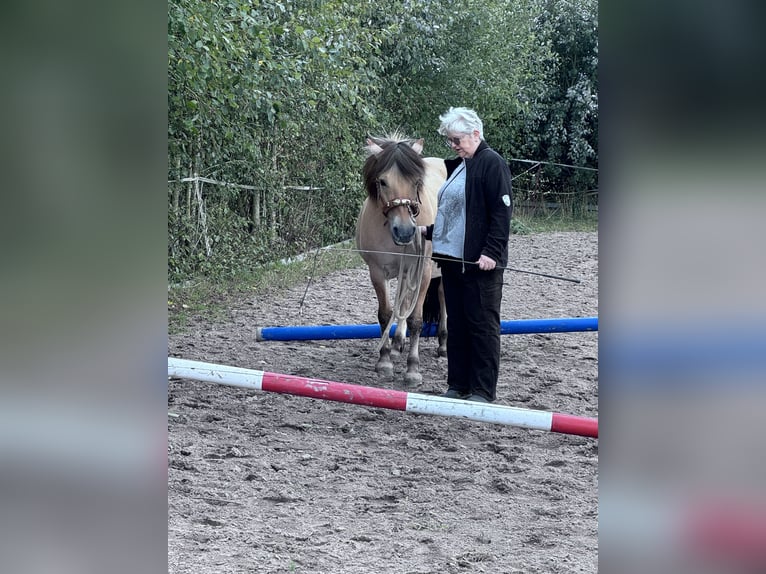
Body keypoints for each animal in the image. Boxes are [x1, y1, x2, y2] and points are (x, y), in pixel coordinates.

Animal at [356, 133, 448, 390]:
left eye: (417, 182)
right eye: (383, 181)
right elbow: (386, 314)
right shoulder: (378, 272)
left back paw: (443, 345)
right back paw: (398, 344)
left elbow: (416, 319)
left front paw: (413, 370)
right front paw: (385, 361)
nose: (406, 232)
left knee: (443, 299)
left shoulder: (423, 271)